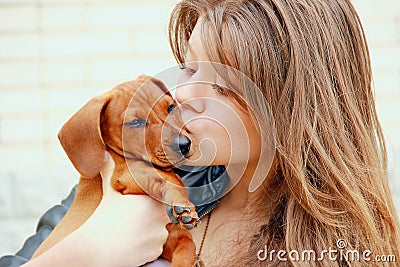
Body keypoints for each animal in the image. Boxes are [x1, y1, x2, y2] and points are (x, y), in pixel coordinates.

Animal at [33, 75, 199, 267]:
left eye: (171, 107)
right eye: (135, 122)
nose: (184, 145)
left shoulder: (172, 236)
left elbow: (188, 246)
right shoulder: (127, 175)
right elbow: (170, 178)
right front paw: (183, 206)